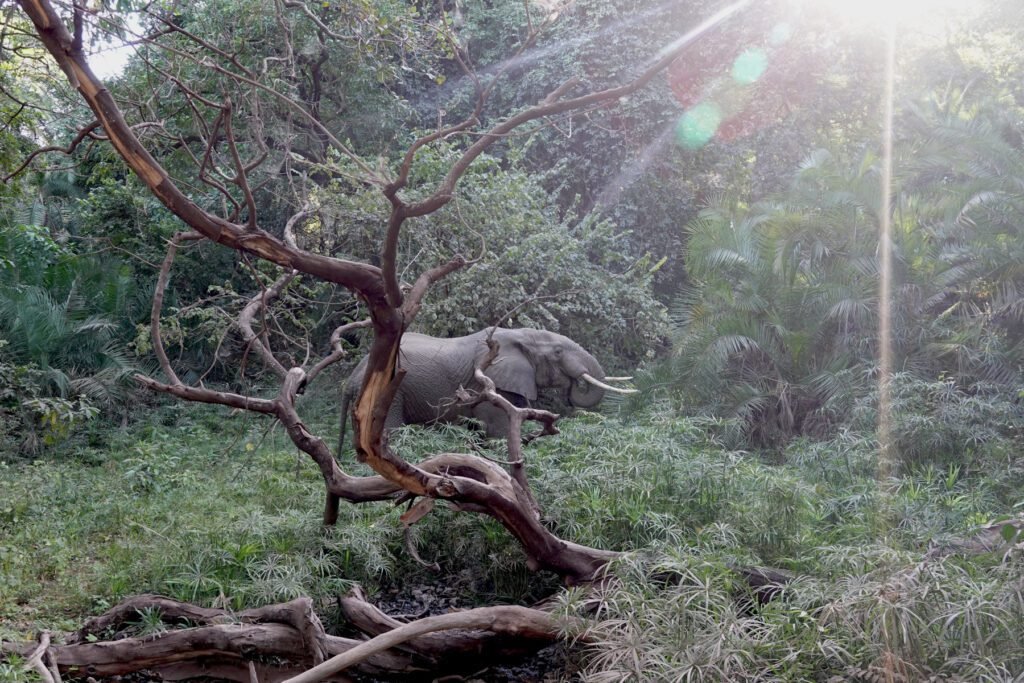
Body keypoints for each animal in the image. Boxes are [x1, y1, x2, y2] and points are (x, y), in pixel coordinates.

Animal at [338, 327, 634, 453]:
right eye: (558, 352)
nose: (574, 385)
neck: (520, 336)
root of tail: (350, 380)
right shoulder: (491, 383)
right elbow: (500, 432)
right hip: (388, 394)